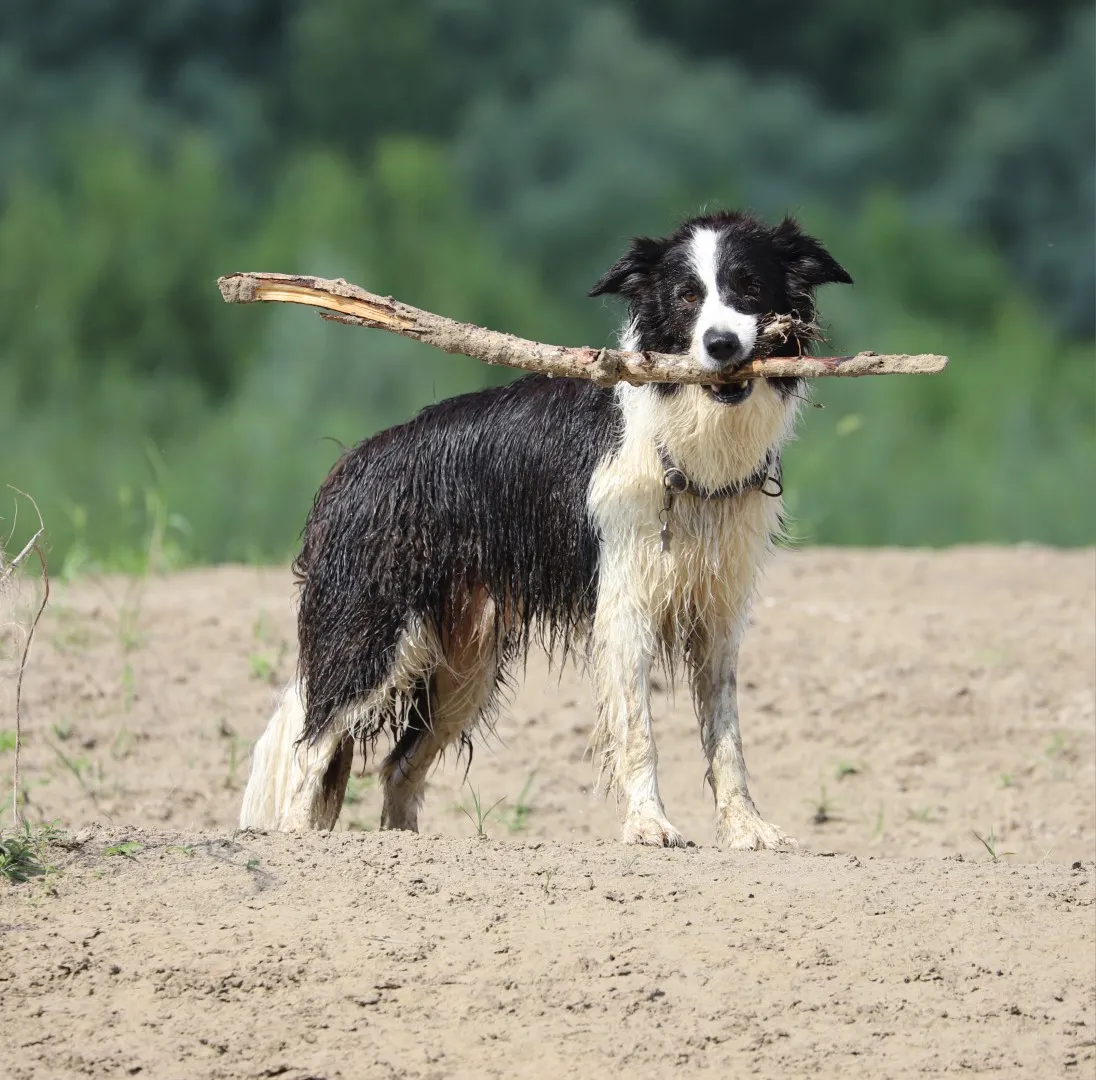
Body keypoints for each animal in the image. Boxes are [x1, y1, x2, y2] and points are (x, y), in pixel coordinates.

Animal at [240, 210, 850, 846]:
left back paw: (406, 843)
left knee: (399, 765)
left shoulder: (719, 614)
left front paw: (748, 830)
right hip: (373, 634)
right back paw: (301, 839)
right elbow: (639, 733)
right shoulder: (625, 606)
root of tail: (349, 466)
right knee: (312, 748)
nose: (722, 344)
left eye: (749, 287)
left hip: (465, 663)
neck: (684, 444)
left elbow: (727, 736)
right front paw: (649, 826)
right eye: (687, 296)